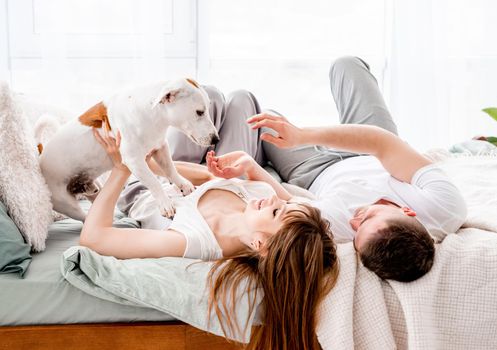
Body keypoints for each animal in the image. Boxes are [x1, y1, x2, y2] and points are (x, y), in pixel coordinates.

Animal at [38, 79, 217, 221]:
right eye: (199, 112)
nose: (216, 139)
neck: (152, 115)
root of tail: (41, 157)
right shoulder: (135, 161)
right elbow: (153, 182)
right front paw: (165, 203)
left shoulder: (160, 148)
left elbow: (171, 169)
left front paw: (183, 184)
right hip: (66, 204)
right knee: (85, 218)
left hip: (94, 190)